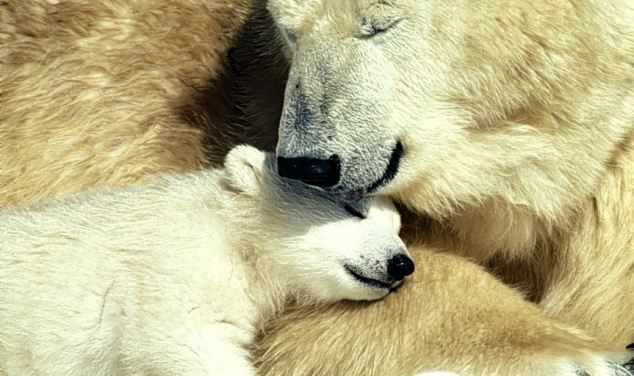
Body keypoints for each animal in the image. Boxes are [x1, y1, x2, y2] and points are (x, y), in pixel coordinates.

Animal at [0, 145, 410, 374]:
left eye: (398, 226)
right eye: (353, 208)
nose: (402, 263)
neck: (230, 231)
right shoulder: (172, 266)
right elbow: (185, 341)